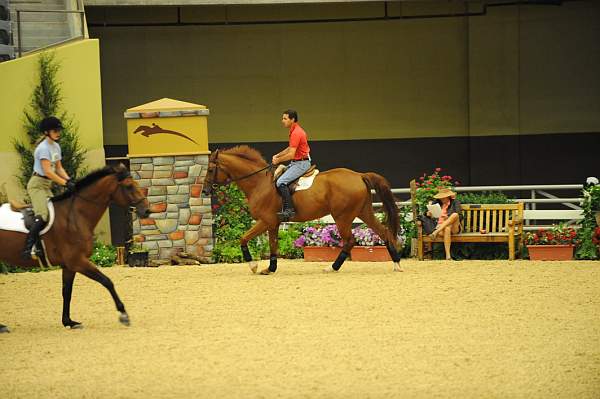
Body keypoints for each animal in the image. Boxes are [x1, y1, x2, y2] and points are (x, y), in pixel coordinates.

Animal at [0, 164, 149, 332]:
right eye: (129, 186)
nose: (147, 210)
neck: (75, 216)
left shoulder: (69, 266)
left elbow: (67, 292)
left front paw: (68, 321)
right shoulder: (77, 261)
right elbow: (107, 281)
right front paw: (123, 314)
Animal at [204, 146, 406, 276]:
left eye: (211, 169)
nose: (205, 191)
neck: (259, 183)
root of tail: (359, 175)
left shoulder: (266, 221)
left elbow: (243, 238)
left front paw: (253, 265)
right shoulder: (273, 224)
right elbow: (272, 245)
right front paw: (270, 268)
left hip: (342, 217)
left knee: (350, 241)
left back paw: (332, 267)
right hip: (363, 212)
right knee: (384, 232)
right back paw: (396, 264)